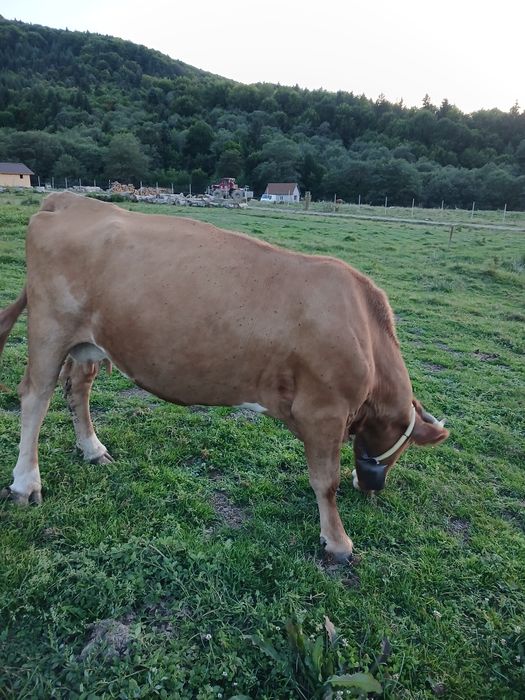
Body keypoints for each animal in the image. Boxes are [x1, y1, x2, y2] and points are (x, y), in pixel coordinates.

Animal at [0, 192, 448, 561]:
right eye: (403, 448)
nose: (373, 488)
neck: (364, 331)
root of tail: (71, 200)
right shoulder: (323, 411)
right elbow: (326, 482)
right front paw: (338, 542)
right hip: (49, 328)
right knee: (35, 396)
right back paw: (26, 484)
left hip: (88, 341)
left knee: (78, 386)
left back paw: (92, 448)